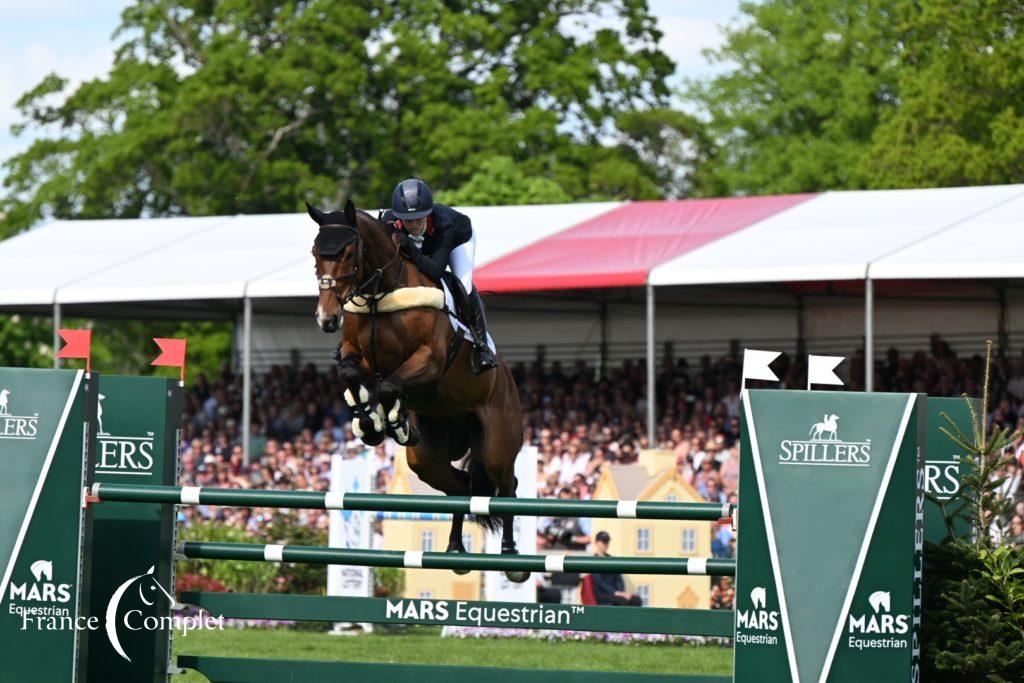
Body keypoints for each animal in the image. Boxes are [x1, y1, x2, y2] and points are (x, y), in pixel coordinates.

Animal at [305, 197, 528, 581]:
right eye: (316, 252)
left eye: (349, 253)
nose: (327, 319)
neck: (380, 294)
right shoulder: (355, 355)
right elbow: (354, 375)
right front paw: (371, 421)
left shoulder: (430, 360)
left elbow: (388, 386)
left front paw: (391, 422)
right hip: (427, 459)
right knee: (461, 488)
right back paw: (454, 549)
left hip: (497, 443)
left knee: (507, 487)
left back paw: (511, 556)